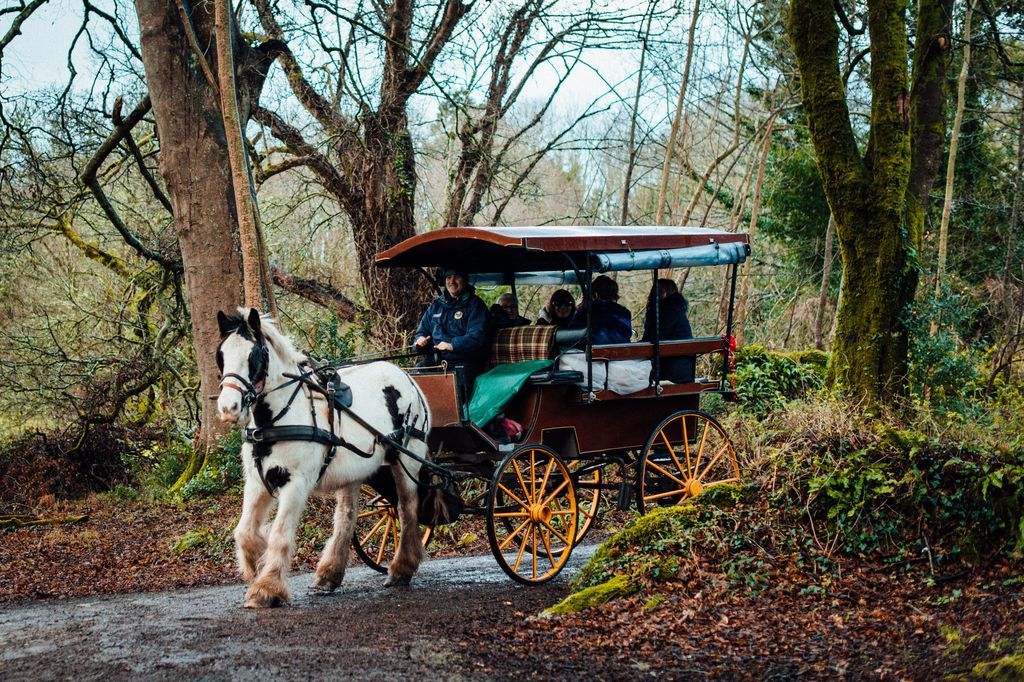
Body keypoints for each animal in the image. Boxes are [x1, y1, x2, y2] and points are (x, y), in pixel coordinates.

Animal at [215, 308, 431, 608]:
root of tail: (407, 377)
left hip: (407, 460)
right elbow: (245, 531)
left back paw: (402, 569)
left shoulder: (296, 483)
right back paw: (329, 574)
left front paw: (267, 588)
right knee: (346, 517)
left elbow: (280, 534)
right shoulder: (257, 482)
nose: (228, 407)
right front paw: (255, 564)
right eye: (221, 355)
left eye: (254, 355)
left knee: (407, 509)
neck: (277, 417)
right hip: (354, 471)